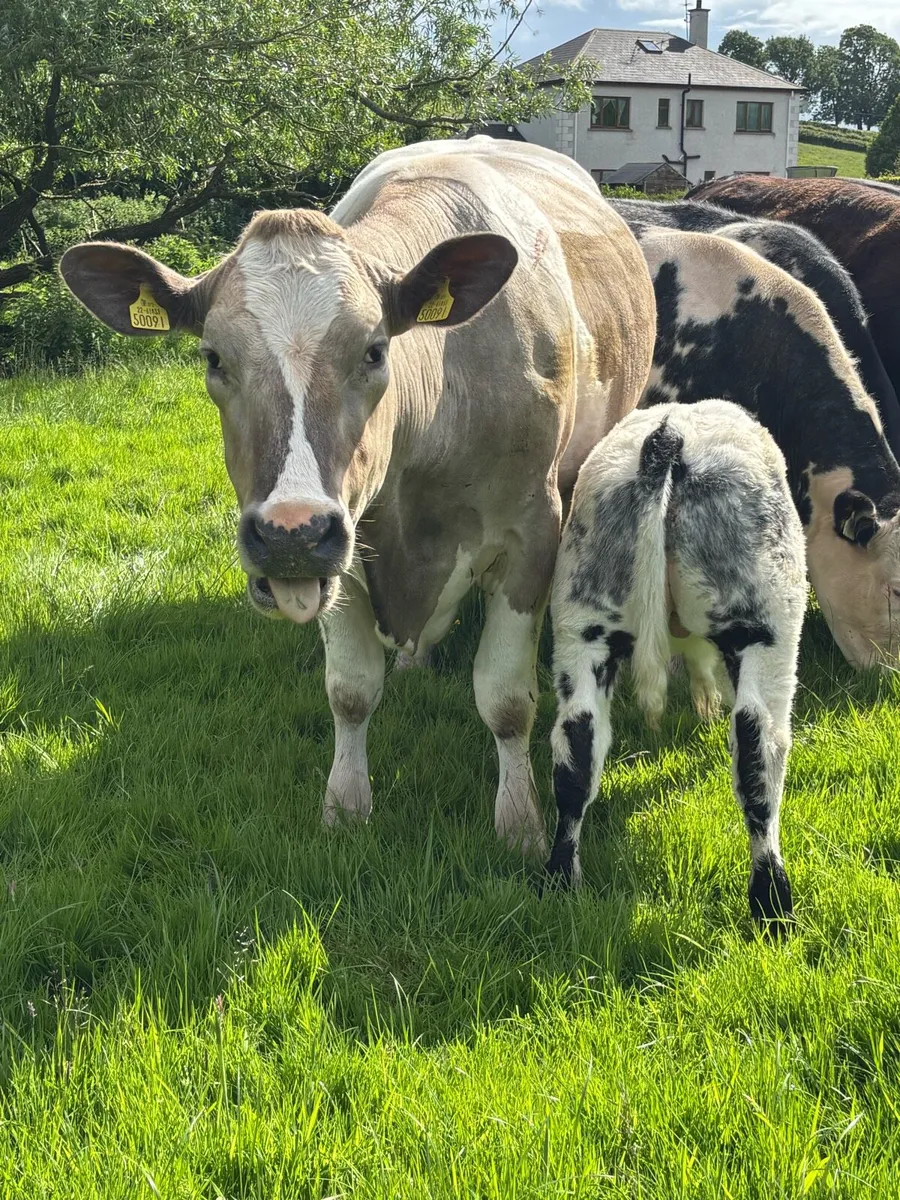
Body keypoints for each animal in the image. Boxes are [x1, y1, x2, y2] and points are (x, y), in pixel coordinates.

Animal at [58, 138, 656, 856]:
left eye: (374, 352)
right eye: (213, 358)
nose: (289, 533)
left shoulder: (530, 532)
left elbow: (507, 699)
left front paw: (519, 823)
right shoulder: (340, 551)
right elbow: (349, 690)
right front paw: (345, 806)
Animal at [547, 400, 806, 930]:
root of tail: (668, 440)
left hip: (583, 615)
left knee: (576, 742)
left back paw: (561, 879)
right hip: (763, 620)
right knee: (758, 747)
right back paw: (773, 906)